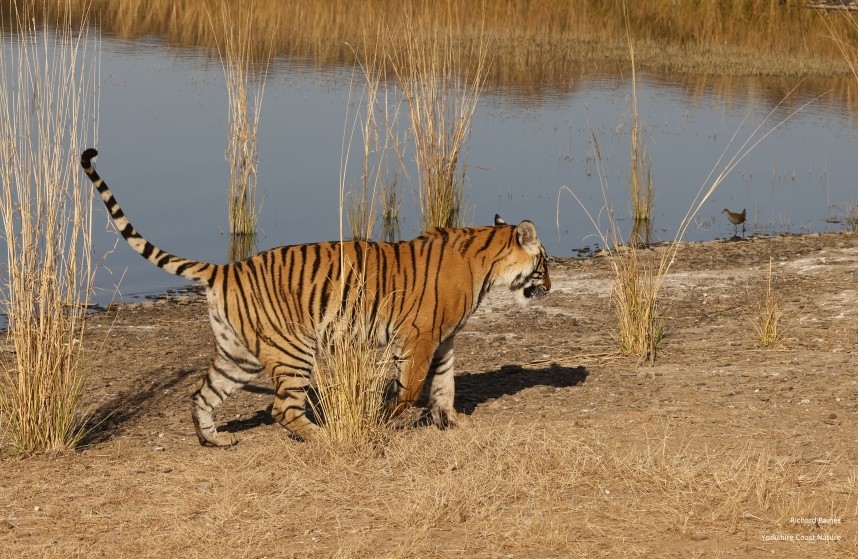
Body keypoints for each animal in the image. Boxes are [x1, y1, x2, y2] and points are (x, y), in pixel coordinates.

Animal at [78, 149, 548, 446]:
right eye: (544, 263)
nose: (549, 286)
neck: (486, 262)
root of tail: (226, 268)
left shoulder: (443, 339)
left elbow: (445, 384)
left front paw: (451, 422)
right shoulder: (419, 337)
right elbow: (412, 387)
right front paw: (387, 418)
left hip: (239, 354)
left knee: (203, 394)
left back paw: (214, 440)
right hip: (293, 350)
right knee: (282, 409)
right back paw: (324, 437)